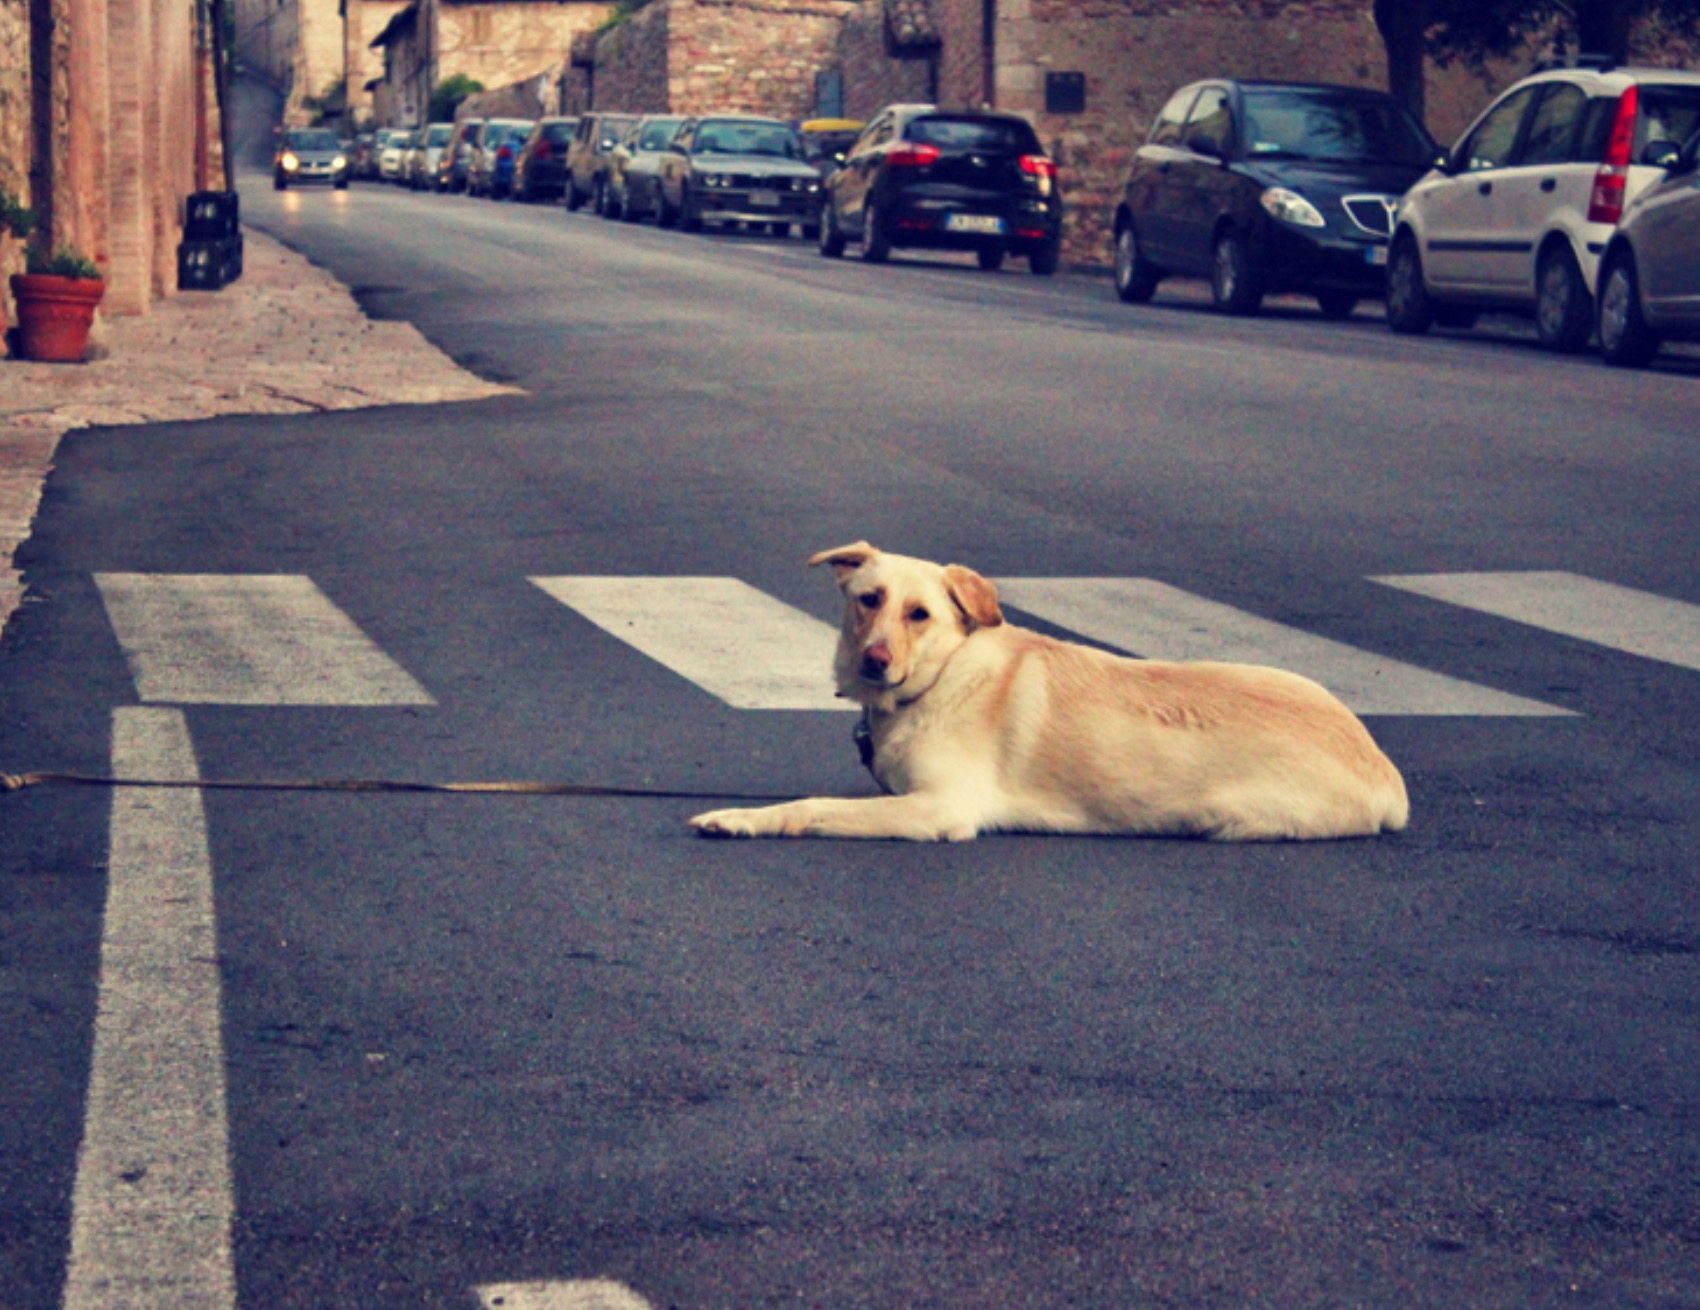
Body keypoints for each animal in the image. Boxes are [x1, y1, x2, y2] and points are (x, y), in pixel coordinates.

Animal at [686, 540, 1407, 839]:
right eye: (869, 600)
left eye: (919, 614)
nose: (875, 661)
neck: (943, 678)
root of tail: (1383, 768)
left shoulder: (938, 809)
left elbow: (812, 806)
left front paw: (740, 819)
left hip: (1240, 817)